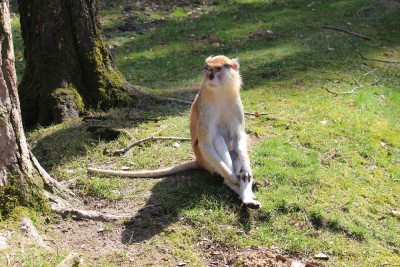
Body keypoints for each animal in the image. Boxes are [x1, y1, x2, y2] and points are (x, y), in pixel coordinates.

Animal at [88, 55, 260, 209]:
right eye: (208, 68)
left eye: (218, 69)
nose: (210, 76)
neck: (220, 92)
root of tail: (198, 161)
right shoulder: (206, 108)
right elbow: (205, 142)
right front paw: (231, 177)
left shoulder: (236, 104)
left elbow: (238, 138)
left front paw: (246, 171)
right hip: (205, 159)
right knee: (216, 138)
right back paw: (234, 184)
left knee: (233, 149)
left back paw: (247, 196)